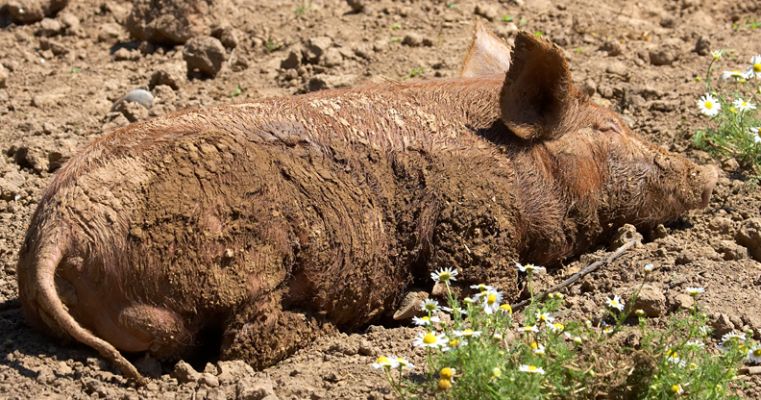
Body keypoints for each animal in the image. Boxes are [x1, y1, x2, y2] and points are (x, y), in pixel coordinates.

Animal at [17, 28, 718, 382]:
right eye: (609, 128)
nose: (709, 172)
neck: (509, 159)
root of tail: (57, 231)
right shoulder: (470, 222)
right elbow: (492, 279)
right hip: (246, 257)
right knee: (243, 342)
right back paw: (333, 329)